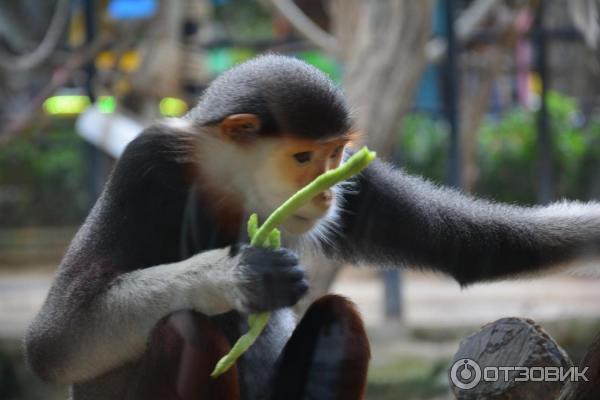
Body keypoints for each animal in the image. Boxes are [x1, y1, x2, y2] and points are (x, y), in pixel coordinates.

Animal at [23, 55, 600, 400]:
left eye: (336, 155)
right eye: (303, 158)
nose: (326, 192)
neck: (226, 188)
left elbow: (474, 248)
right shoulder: (148, 163)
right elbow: (55, 341)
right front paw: (239, 277)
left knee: (338, 311)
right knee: (182, 326)